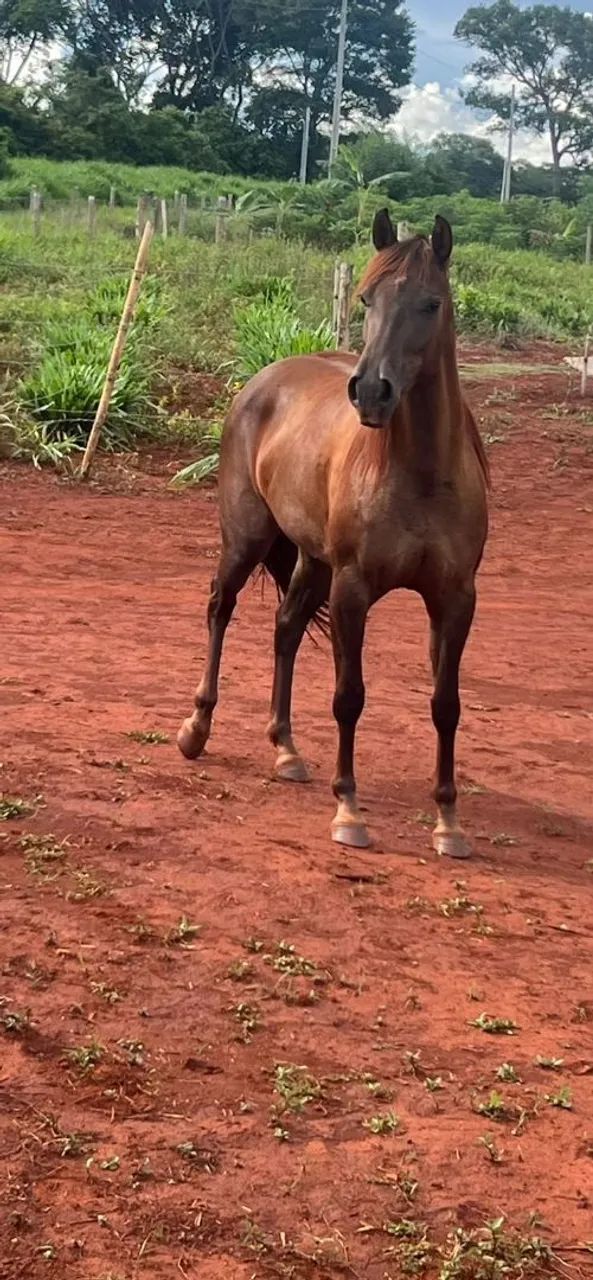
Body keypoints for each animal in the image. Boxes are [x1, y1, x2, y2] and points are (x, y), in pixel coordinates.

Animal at [178, 210, 489, 858]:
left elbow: (446, 704)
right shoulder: (353, 588)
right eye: (367, 298)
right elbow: (350, 696)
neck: (420, 474)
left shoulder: (456, 598)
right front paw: (348, 809)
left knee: (286, 628)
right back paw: (196, 727)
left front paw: (449, 822)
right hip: (246, 540)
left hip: (311, 562)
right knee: (220, 607)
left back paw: (286, 749)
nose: (371, 392)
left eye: (431, 304)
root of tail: (263, 380)